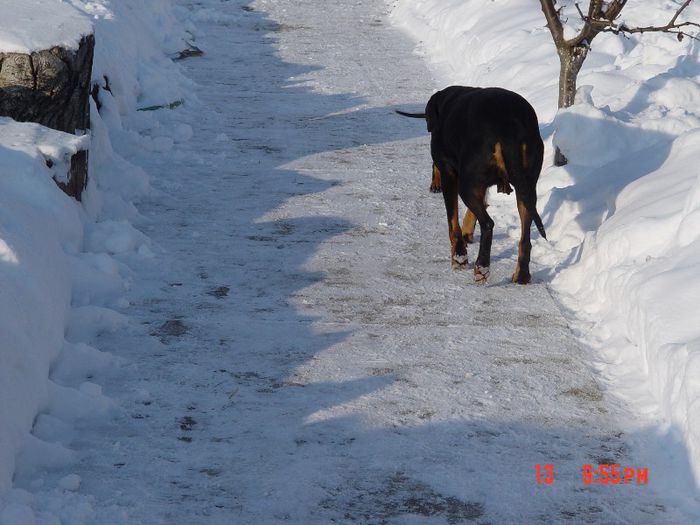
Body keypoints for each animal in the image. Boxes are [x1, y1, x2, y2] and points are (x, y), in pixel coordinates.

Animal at [396, 86, 544, 282]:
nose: (434, 185)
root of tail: (508, 123)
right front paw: (467, 233)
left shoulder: (450, 174)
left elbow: (453, 223)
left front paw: (459, 256)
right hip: (526, 188)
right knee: (525, 238)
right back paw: (521, 275)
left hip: (466, 185)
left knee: (488, 224)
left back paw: (481, 267)